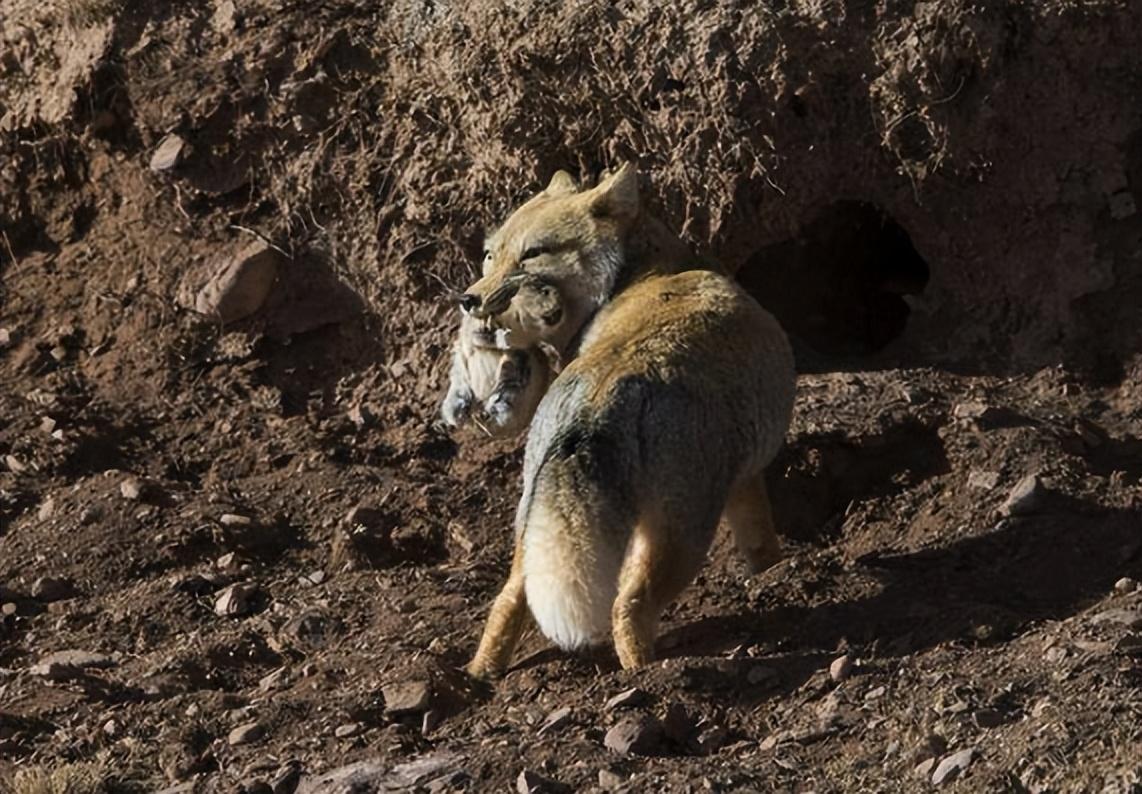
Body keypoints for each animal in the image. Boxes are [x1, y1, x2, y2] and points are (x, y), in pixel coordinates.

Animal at [449, 164, 799, 680]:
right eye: (492, 255)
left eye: (532, 254)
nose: (468, 300)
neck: (648, 273)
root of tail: (600, 394)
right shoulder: (741, 481)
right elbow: (760, 547)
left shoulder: (744, 477)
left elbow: (760, 547)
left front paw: (771, 572)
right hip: (682, 535)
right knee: (628, 606)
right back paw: (650, 676)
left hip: (532, 530)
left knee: (508, 601)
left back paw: (480, 675)